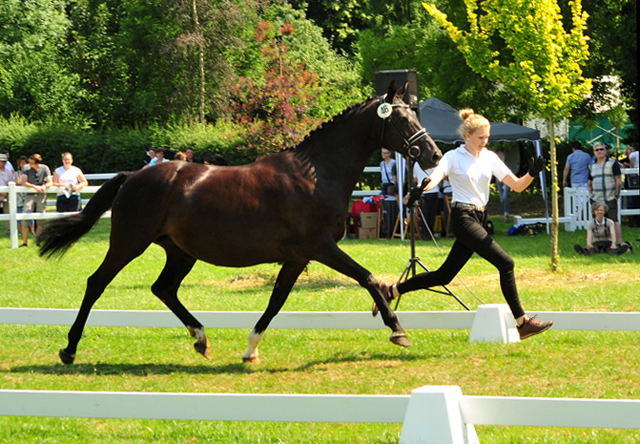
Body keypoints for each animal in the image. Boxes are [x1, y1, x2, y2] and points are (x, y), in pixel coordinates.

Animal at [37, 80, 442, 364]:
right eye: (402, 118)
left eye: (415, 114)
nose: (435, 155)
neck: (315, 174)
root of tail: (133, 176)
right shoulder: (321, 247)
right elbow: (368, 278)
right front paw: (398, 331)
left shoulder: (298, 257)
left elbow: (276, 301)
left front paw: (250, 349)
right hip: (128, 243)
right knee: (97, 283)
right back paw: (69, 349)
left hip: (180, 252)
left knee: (163, 289)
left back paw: (201, 339)